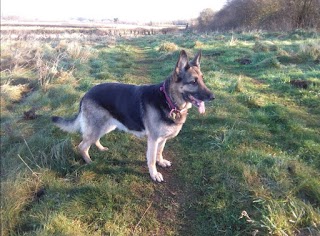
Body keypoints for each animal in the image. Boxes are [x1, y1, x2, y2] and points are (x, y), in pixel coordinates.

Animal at [52, 50, 212, 183]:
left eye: (202, 79)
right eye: (193, 82)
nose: (213, 96)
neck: (168, 100)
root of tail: (85, 94)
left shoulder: (162, 139)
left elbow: (160, 152)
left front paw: (161, 161)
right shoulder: (153, 139)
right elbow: (151, 159)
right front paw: (154, 174)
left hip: (106, 126)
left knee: (94, 140)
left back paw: (101, 149)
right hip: (97, 127)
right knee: (82, 146)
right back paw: (89, 162)